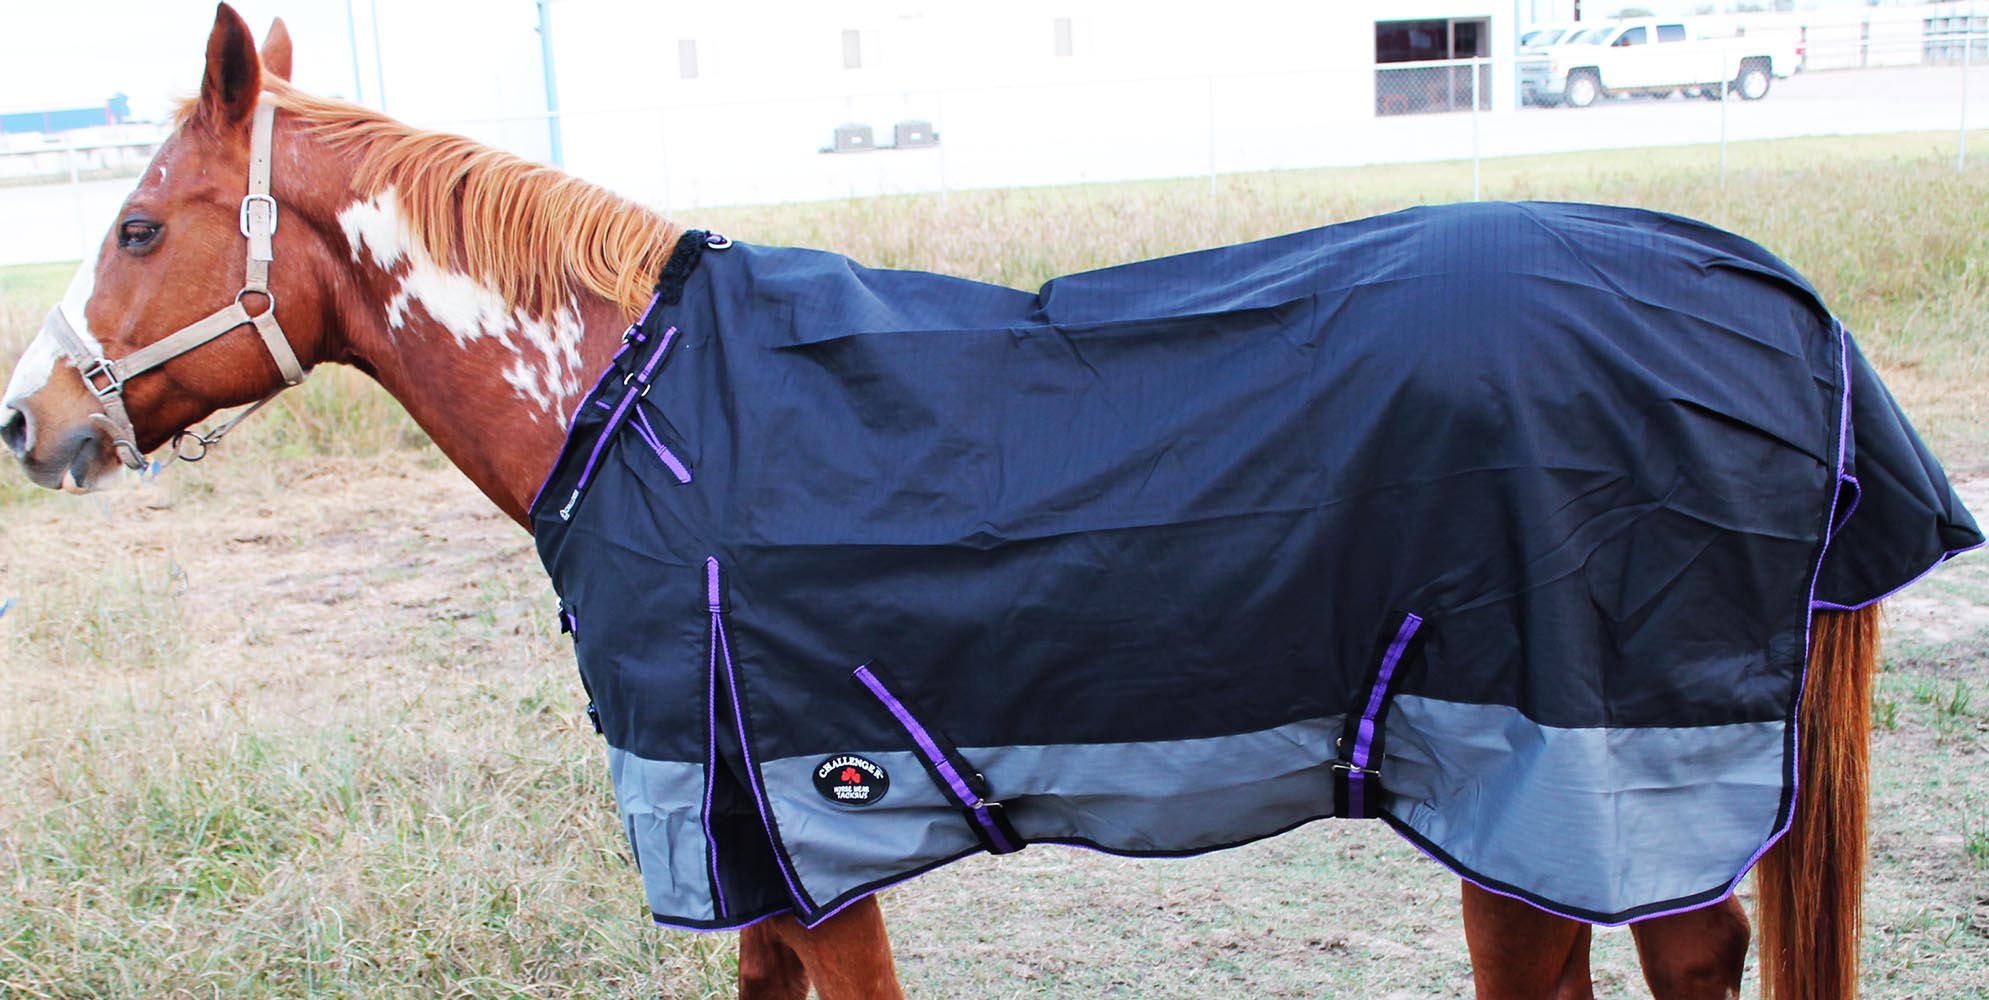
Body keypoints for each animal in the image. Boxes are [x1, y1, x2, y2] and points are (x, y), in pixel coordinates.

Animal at [3, 7, 1955, 998]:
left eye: (139, 225)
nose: (32, 422)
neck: (634, 405)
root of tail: (1776, 302)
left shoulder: (795, 834)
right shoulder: (749, 858)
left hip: (1574, 786)